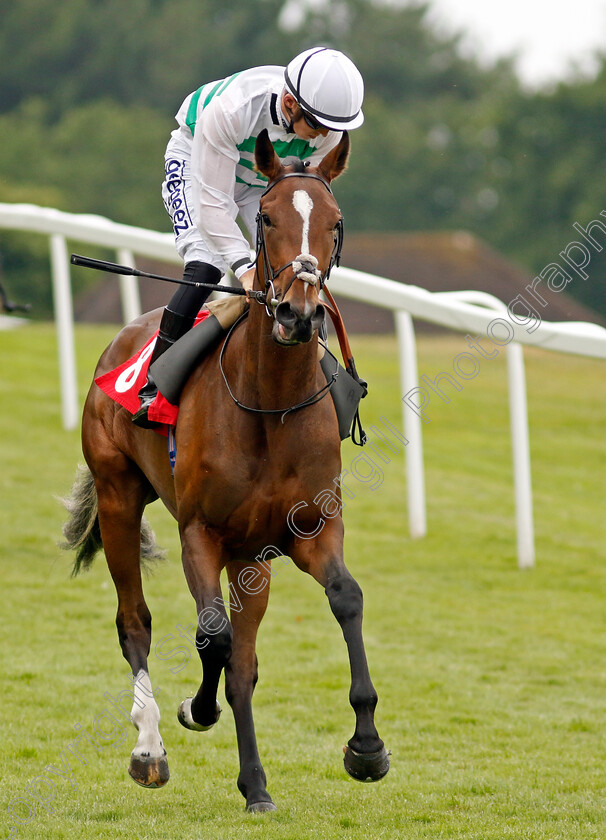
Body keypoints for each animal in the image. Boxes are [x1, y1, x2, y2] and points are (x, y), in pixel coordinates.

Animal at [64, 128, 392, 812]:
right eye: (265, 219)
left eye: (336, 222)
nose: (298, 313)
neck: (268, 404)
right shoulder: (201, 533)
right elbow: (210, 635)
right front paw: (196, 709)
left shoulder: (309, 530)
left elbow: (344, 600)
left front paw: (367, 747)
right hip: (117, 497)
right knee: (136, 623)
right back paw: (150, 748)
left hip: (251, 558)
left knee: (243, 663)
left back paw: (255, 784)